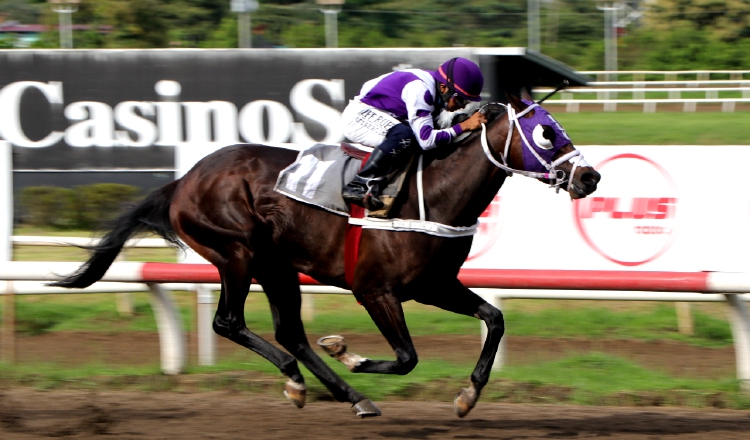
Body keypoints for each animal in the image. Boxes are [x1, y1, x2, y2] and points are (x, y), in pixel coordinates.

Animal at [51, 90, 600, 420]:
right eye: (547, 131)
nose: (591, 176)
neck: (433, 194)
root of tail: (183, 181)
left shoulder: (432, 285)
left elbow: (494, 318)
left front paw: (467, 397)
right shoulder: (375, 290)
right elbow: (407, 357)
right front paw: (349, 352)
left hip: (276, 265)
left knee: (289, 332)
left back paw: (346, 395)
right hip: (236, 253)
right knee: (229, 322)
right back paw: (301, 381)